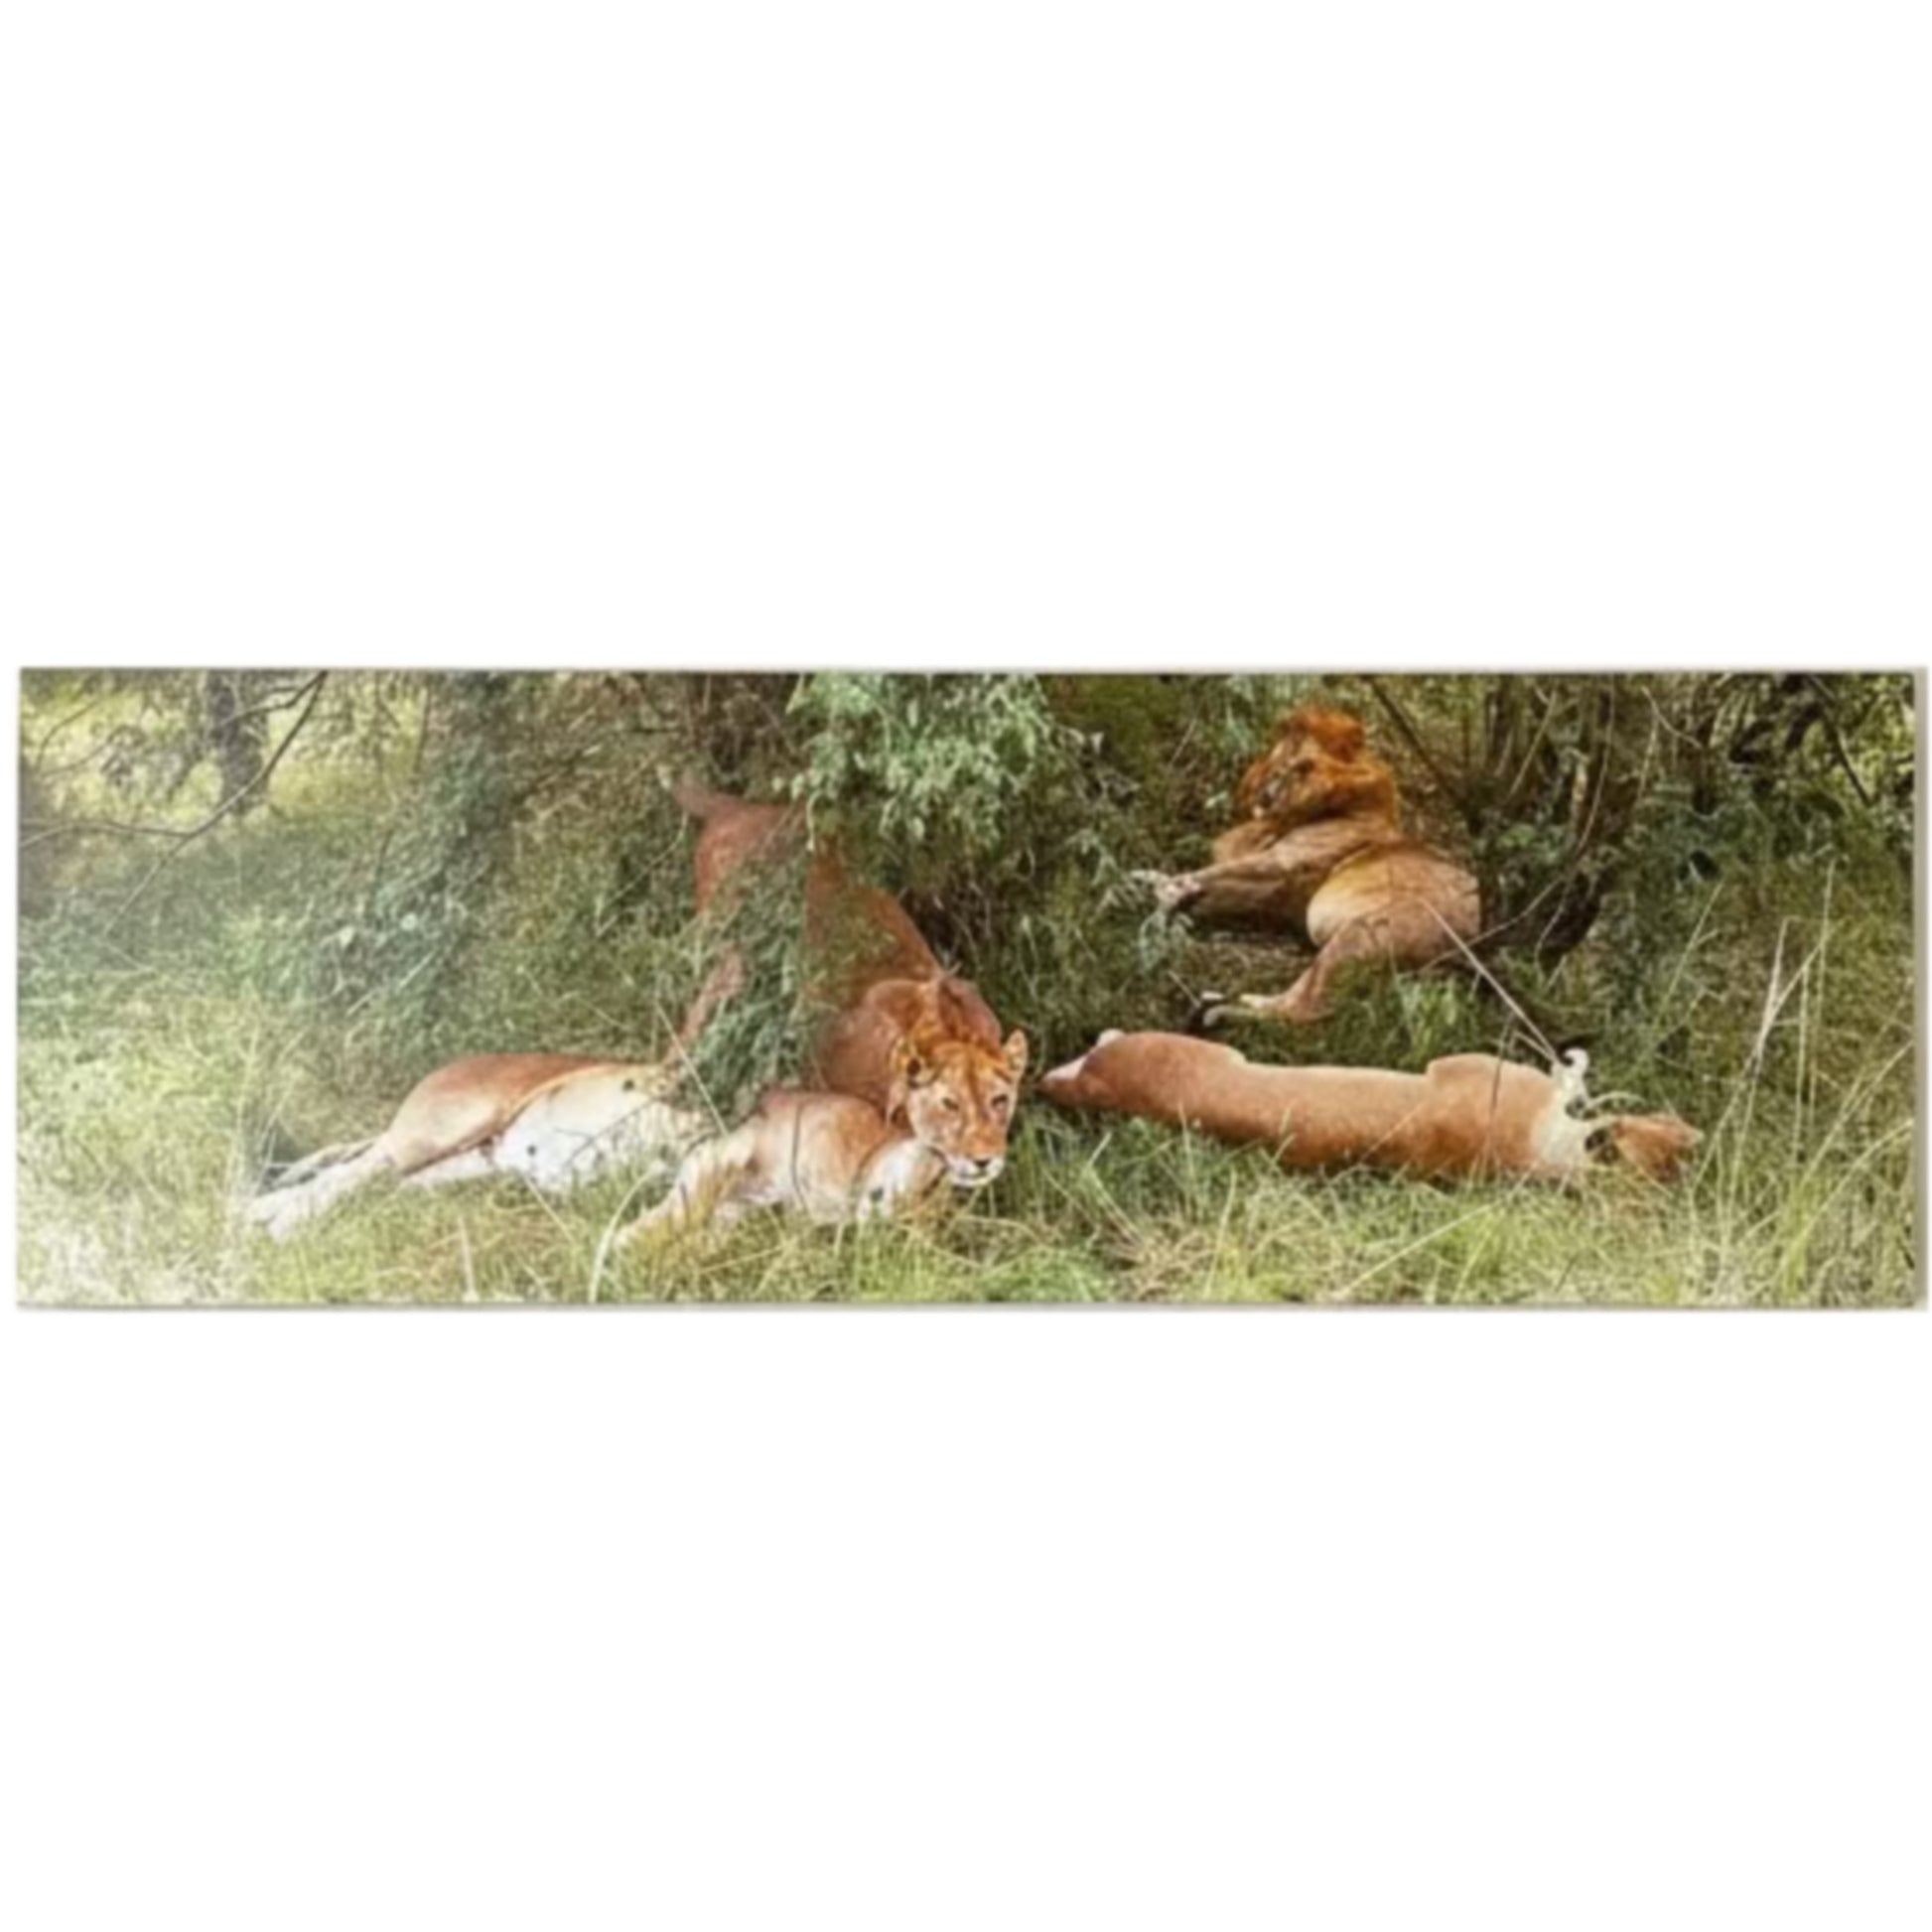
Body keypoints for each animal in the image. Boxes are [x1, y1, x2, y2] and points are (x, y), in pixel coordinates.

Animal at [622, 1027, 1025, 1243]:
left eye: (999, 1100)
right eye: (950, 1104)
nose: (984, 1160)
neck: (929, 1175)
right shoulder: (859, 1217)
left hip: (733, 1214)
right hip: (705, 1182)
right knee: (638, 1232)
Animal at [1139, 707, 1481, 1025]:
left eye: (1301, 766)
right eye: (1279, 763)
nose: (1263, 793)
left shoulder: (1282, 866)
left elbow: (1206, 875)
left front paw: (1165, 894)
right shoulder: (1274, 896)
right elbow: (1212, 886)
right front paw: (1150, 881)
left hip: (1360, 933)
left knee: (1300, 1010)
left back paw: (1221, 1011)